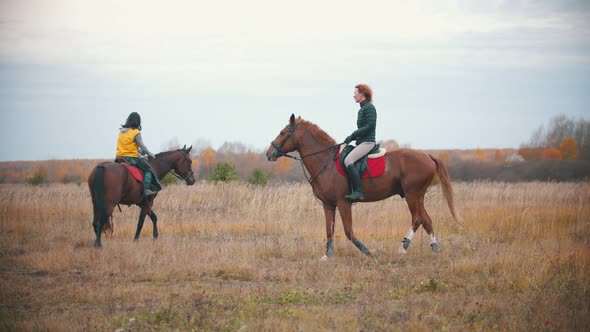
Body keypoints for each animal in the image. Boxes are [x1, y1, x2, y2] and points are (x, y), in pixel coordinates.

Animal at [266, 114, 460, 260]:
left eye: (283, 132)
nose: (269, 153)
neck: (326, 161)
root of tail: (427, 155)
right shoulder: (328, 205)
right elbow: (329, 230)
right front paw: (327, 256)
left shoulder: (343, 203)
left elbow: (349, 232)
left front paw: (369, 252)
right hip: (418, 196)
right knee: (426, 220)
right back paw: (434, 248)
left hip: (412, 195)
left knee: (417, 219)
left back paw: (403, 247)